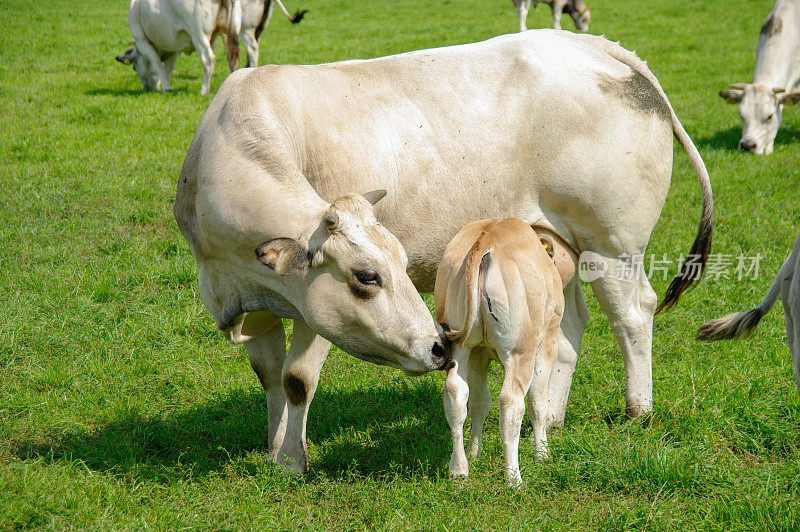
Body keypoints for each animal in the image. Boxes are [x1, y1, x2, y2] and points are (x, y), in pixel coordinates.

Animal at [434, 217, 572, 486]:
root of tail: (487, 236)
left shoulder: (478, 354)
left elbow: (479, 402)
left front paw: (474, 452)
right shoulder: (547, 342)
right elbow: (539, 401)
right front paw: (542, 454)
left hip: (460, 348)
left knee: (456, 394)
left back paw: (459, 469)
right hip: (521, 352)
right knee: (511, 403)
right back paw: (513, 477)